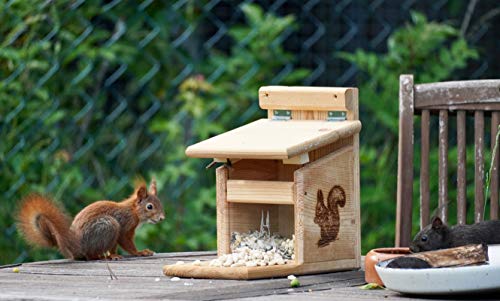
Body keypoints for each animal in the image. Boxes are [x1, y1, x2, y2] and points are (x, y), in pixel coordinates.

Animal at [17, 179, 164, 258]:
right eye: (149, 207)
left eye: (160, 203)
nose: (162, 218)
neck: (133, 211)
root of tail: (75, 247)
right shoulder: (124, 226)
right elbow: (127, 243)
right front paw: (140, 252)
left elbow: (114, 246)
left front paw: (113, 254)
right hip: (109, 225)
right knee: (90, 255)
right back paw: (99, 257)